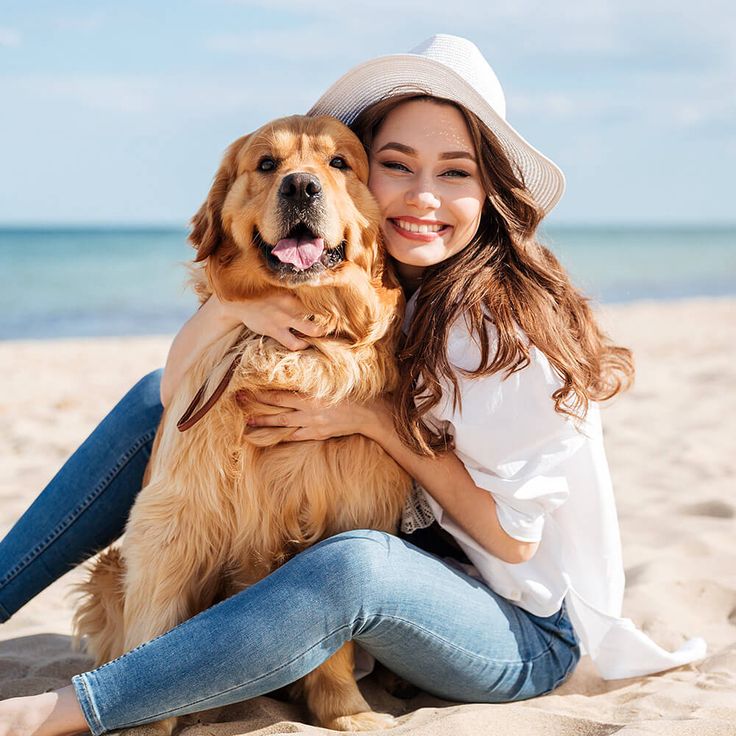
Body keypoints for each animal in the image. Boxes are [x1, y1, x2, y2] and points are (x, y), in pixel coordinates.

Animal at [75, 113, 414, 732]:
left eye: (339, 163)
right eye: (266, 164)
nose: (301, 186)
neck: (293, 339)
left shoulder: (344, 513)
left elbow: (336, 639)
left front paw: (347, 711)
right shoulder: (174, 515)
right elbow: (154, 631)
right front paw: (145, 722)